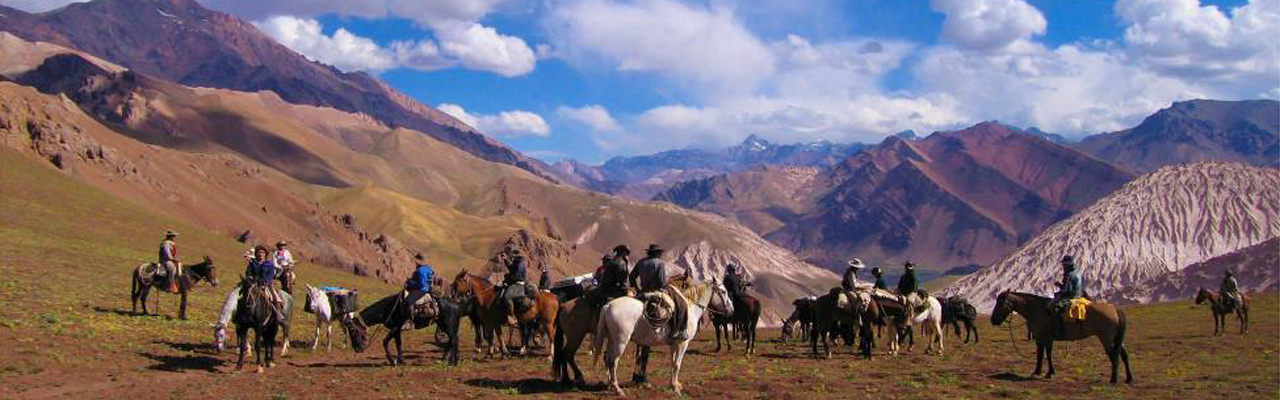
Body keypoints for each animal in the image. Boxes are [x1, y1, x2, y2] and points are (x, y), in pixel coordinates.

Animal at [988, 292, 1131, 382]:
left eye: (1001, 302)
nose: (994, 320)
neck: (1036, 309)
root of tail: (1115, 309)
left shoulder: (1046, 338)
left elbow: (1047, 354)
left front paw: (1049, 373)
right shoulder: (1040, 338)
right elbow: (1041, 354)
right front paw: (1038, 372)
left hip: (1106, 339)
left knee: (1114, 356)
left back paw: (1113, 379)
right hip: (1117, 339)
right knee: (1124, 355)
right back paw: (1129, 379)